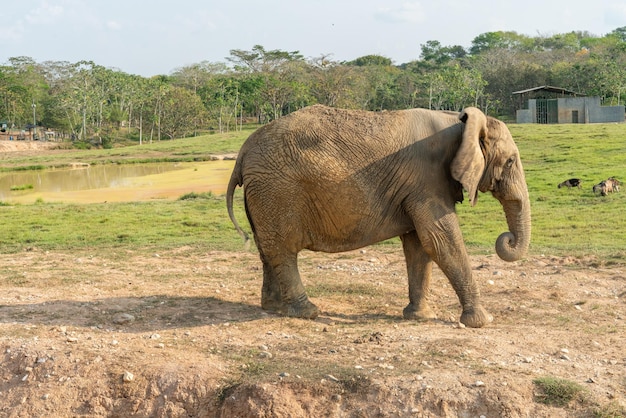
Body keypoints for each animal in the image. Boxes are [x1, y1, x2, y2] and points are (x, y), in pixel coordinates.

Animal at [227, 103, 528, 326]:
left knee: (268, 249)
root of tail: (242, 153)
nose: (507, 239)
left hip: (264, 195)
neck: (460, 122)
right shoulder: (427, 181)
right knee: (284, 250)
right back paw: (307, 312)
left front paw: (419, 317)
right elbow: (440, 240)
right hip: (277, 191)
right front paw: (482, 321)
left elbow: (419, 245)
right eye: (510, 161)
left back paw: (274, 307)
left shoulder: (415, 187)